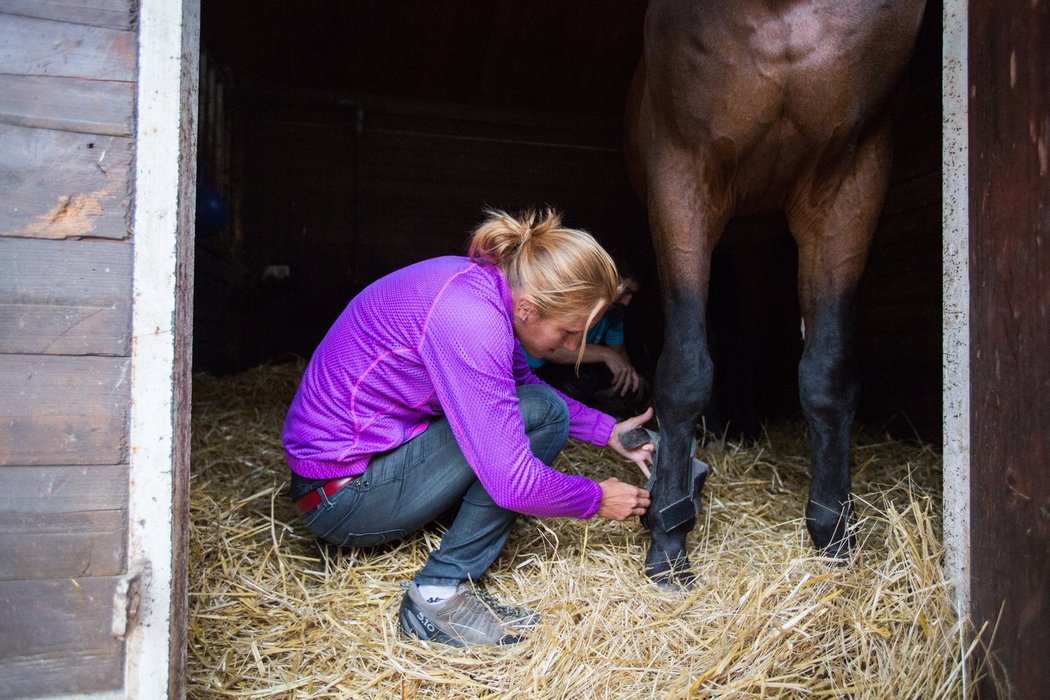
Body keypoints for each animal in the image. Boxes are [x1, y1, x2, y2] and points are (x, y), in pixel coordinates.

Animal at [625, 0, 923, 587]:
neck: (776, 13)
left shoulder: (849, 186)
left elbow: (828, 374)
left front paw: (834, 533)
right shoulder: (681, 176)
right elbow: (685, 370)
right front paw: (668, 541)